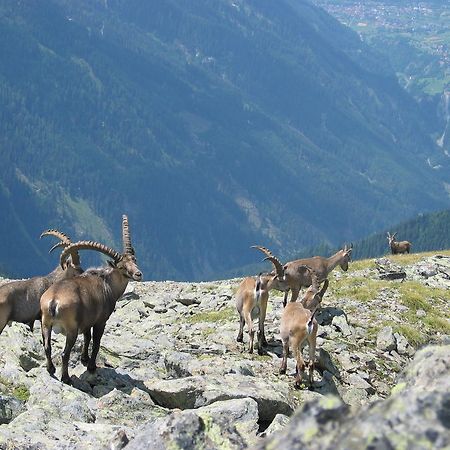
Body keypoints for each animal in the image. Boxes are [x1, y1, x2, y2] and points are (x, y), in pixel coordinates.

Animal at [41, 216, 142, 384]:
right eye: (121, 267)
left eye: (134, 260)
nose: (138, 274)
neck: (108, 284)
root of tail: (54, 301)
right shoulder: (100, 321)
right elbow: (96, 343)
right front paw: (91, 366)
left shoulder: (87, 320)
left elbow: (87, 338)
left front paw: (84, 359)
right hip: (71, 329)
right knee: (64, 353)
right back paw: (66, 378)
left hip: (45, 324)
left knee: (47, 347)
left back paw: (51, 369)